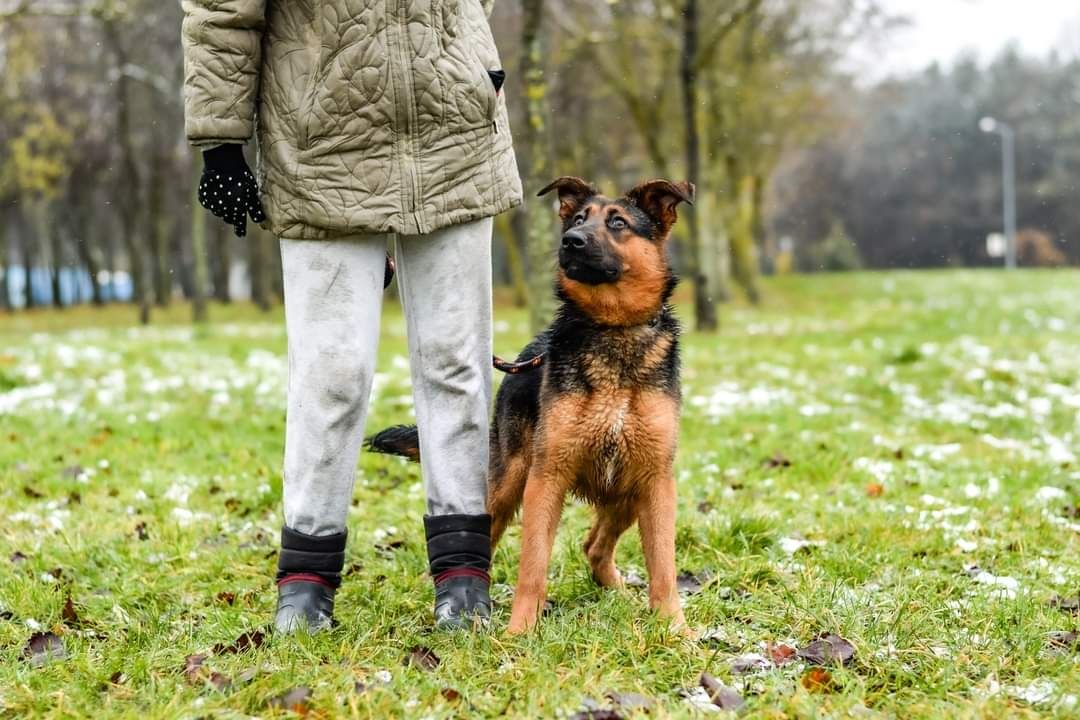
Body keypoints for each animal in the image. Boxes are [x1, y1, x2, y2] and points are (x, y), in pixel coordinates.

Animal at [369, 177, 691, 634]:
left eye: (618, 223)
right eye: (577, 219)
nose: (571, 241)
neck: (611, 329)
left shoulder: (656, 479)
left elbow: (663, 565)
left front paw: (675, 629)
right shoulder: (546, 477)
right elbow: (533, 564)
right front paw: (520, 630)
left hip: (629, 488)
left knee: (594, 545)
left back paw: (617, 593)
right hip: (507, 484)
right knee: (486, 541)